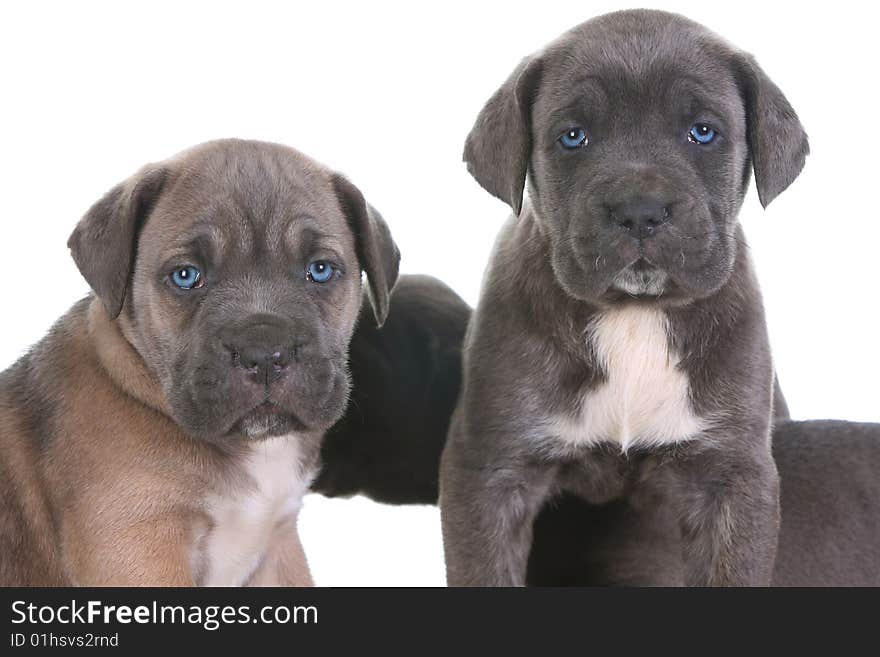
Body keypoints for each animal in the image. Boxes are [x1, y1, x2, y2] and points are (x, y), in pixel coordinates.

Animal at [444, 9, 808, 584]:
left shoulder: (732, 478)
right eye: (573, 137)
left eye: (703, 132)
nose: (640, 210)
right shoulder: (490, 472)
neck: (636, 315)